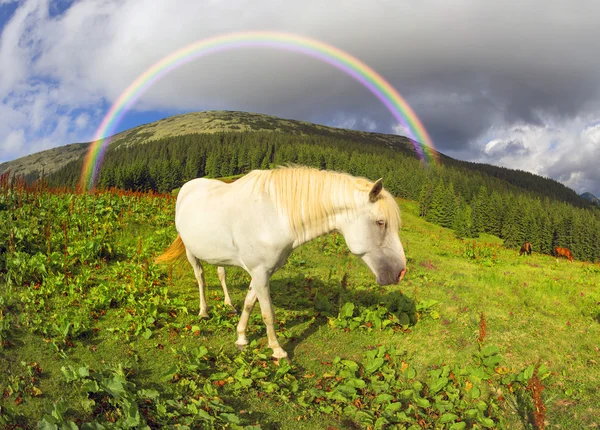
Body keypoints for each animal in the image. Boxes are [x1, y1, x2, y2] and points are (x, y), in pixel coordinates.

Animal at [156, 166, 408, 358]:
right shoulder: (259, 272)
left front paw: (241, 337)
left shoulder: (261, 272)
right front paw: (277, 349)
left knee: (221, 273)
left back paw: (228, 303)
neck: (275, 215)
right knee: (200, 277)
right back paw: (203, 311)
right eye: (381, 222)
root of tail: (188, 187)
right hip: (191, 251)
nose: (400, 272)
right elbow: (268, 313)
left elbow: (249, 304)